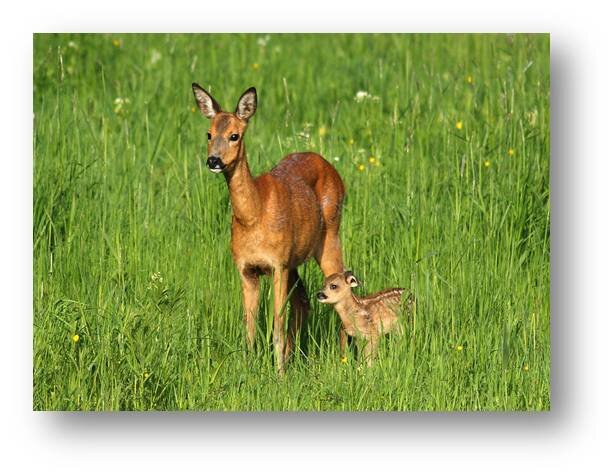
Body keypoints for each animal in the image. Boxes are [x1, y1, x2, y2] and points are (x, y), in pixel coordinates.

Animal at [192, 84, 346, 372]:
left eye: (234, 135)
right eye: (209, 133)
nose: (213, 160)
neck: (254, 216)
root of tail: (331, 167)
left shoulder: (277, 264)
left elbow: (277, 326)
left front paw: (279, 374)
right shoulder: (247, 268)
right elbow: (249, 327)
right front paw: (246, 368)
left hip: (330, 236)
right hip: (294, 258)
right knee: (303, 302)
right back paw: (295, 356)